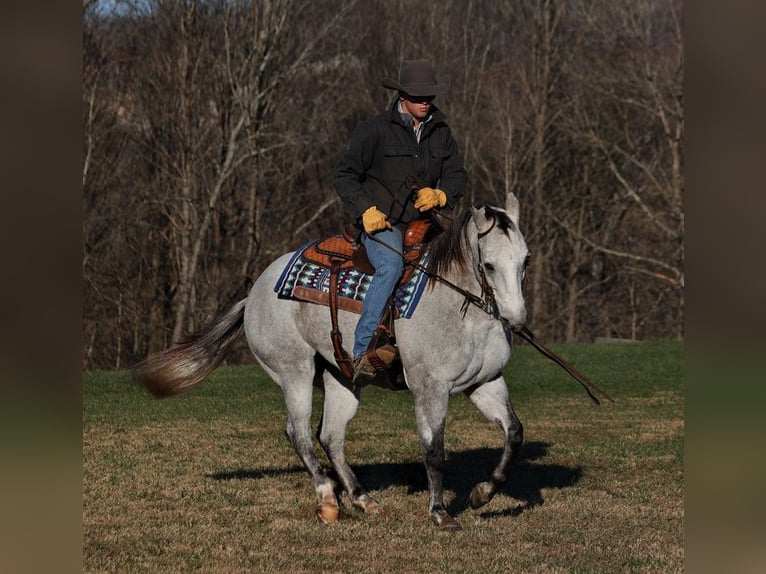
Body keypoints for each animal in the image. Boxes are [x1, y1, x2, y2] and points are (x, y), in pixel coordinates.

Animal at [135, 192, 532, 532]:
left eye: (525, 260)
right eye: (489, 265)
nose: (516, 319)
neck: (456, 303)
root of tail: (253, 294)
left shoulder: (485, 382)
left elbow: (514, 432)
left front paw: (482, 494)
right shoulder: (429, 388)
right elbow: (433, 451)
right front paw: (439, 513)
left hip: (341, 377)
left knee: (331, 436)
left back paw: (362, 498)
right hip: (294, 371)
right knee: (299, 433)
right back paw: (327, 498)